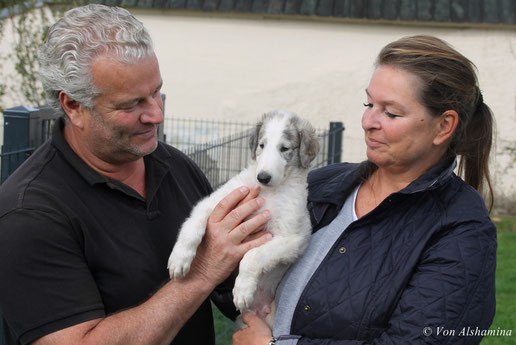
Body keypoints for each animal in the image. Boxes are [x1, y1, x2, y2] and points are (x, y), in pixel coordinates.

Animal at [167, 110, 318, 326]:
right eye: (262, 145)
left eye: (284, 148)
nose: (262, 177)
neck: (268, 192)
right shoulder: (216, 201)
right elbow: (192, 226)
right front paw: (179, 259)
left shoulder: (293, 239)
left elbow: (252, 256)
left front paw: (241, 290)